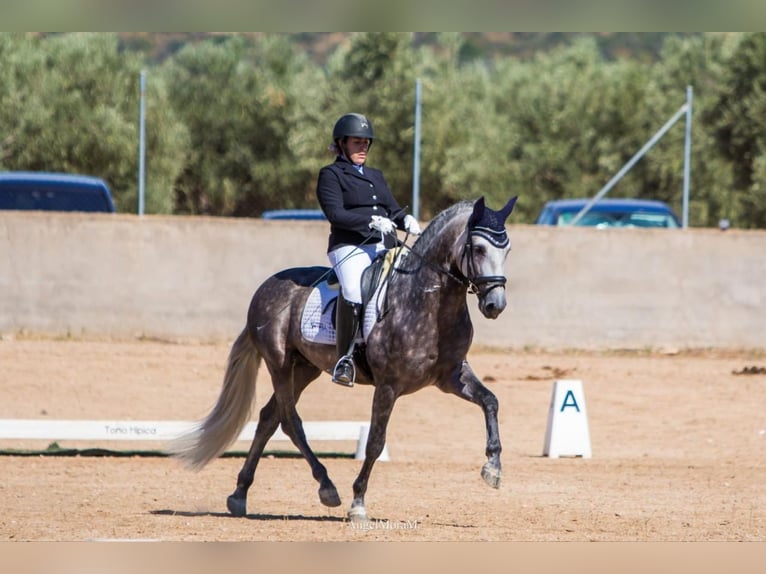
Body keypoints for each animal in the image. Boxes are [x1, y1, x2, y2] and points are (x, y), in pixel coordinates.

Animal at [171, 196, 520, 524]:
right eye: (478, 248)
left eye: (507, 249)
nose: (495, 304)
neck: (428, 303)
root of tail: (266, 287)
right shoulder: (389, 385)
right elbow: (376, 442)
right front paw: (358, 503)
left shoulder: (450, 375)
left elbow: (491, 401)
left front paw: (493, 468)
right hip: (279, 364)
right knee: (290, 421)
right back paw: (327, 488)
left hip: (305, 368)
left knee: (269, 417)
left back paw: (240, 494)